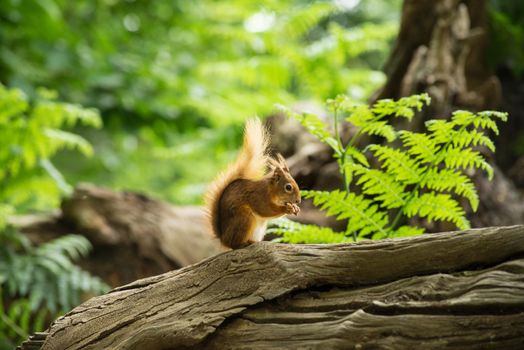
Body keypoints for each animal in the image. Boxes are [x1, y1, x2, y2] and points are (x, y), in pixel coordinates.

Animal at [206, 118, 300, 249]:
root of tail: (223, 238)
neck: (270, 190)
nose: (298, 201)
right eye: (288, 187)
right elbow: (265, 209)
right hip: (244, 217)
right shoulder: (258, 196)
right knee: (234, 244)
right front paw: (287, 209)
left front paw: (295, 208)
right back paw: (243, 244)